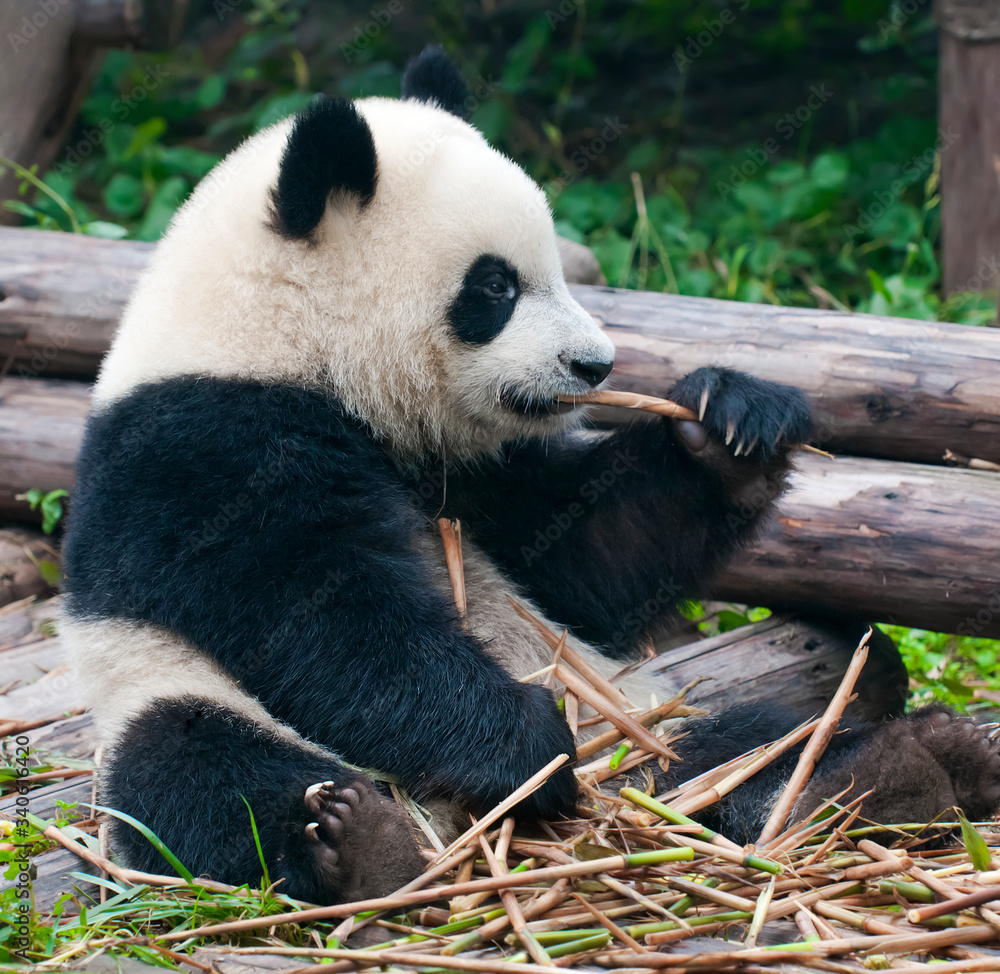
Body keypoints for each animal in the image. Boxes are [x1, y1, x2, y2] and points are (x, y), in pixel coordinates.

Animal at [61, 47, 1000, 906]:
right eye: (494, 287)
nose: (595, 364)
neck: (277, 334)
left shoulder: (469, 467)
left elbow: (584, 558)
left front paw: (730, 426)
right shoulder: (204, 447)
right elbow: (318, 614)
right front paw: (519, 743)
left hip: (639, 720)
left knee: (744, 744)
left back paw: (900, 765)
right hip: (155, 690)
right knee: (198, 773)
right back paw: (359, 844)